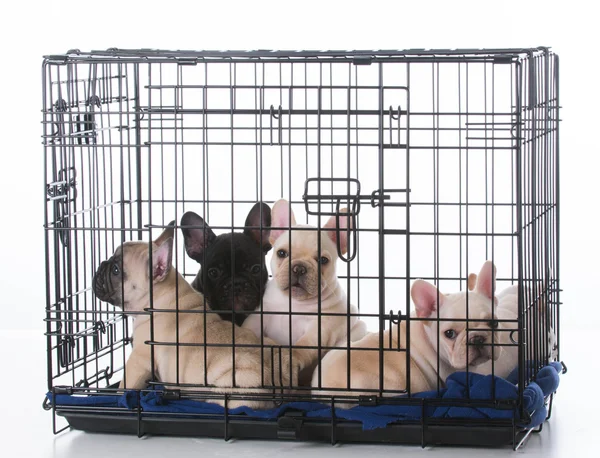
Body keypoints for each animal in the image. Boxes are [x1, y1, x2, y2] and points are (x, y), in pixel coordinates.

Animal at [243, 199, 366, 384]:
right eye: (281, 253)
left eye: (323, 260)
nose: (299, 268)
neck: (293, 303)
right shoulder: (260, 315)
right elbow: (249, 329)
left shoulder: (320, 328)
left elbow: (303, 345)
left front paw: (290, 358)